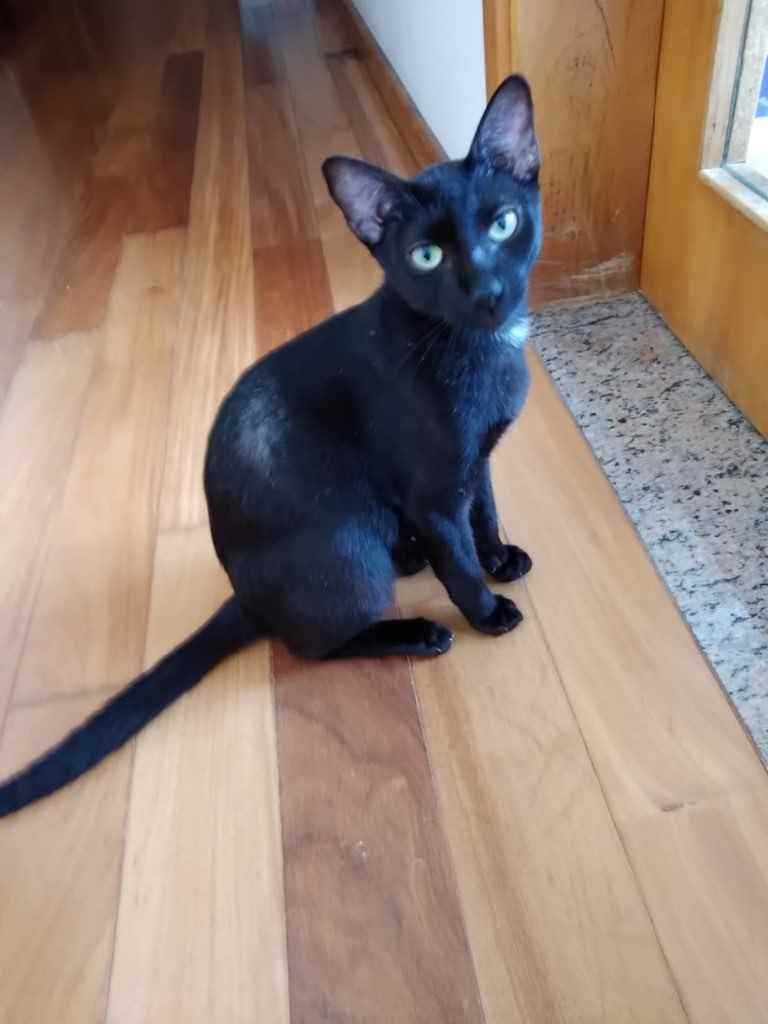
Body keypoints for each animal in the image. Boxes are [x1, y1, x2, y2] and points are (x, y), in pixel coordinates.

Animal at [0, 74, 541, 818]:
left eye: (503, 224)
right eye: (426, 256)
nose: (487, 292)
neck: (477, 348)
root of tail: (245, 591)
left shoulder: (474, 461)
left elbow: (483, 512)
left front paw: (500, 557)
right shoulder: (434, 491)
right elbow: (456, 559)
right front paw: (486, 612)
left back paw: (409, 559)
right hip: (345, 545)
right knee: (312, 642)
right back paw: (415, 631)